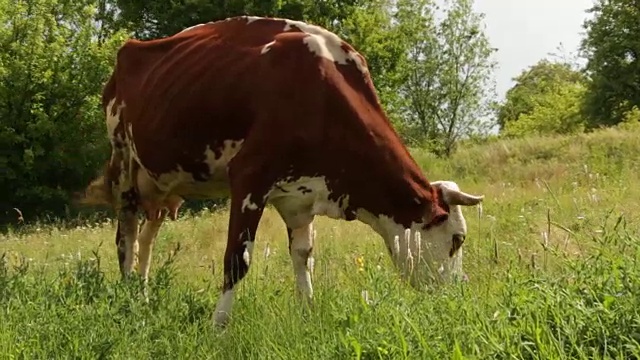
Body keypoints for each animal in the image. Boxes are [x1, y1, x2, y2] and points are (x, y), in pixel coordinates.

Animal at [77, 15, 482, 328]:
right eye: (457, 239)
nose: (459, 291)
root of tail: (131, 48)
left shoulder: (300, 197)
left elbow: (304, 255)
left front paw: (308, 312)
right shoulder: (249, 179)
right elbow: (237, 260)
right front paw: (218, 327)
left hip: (160, 184)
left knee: (147, 239)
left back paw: (143, 295)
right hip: (124, 163)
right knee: (126, 238)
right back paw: (130, 300)